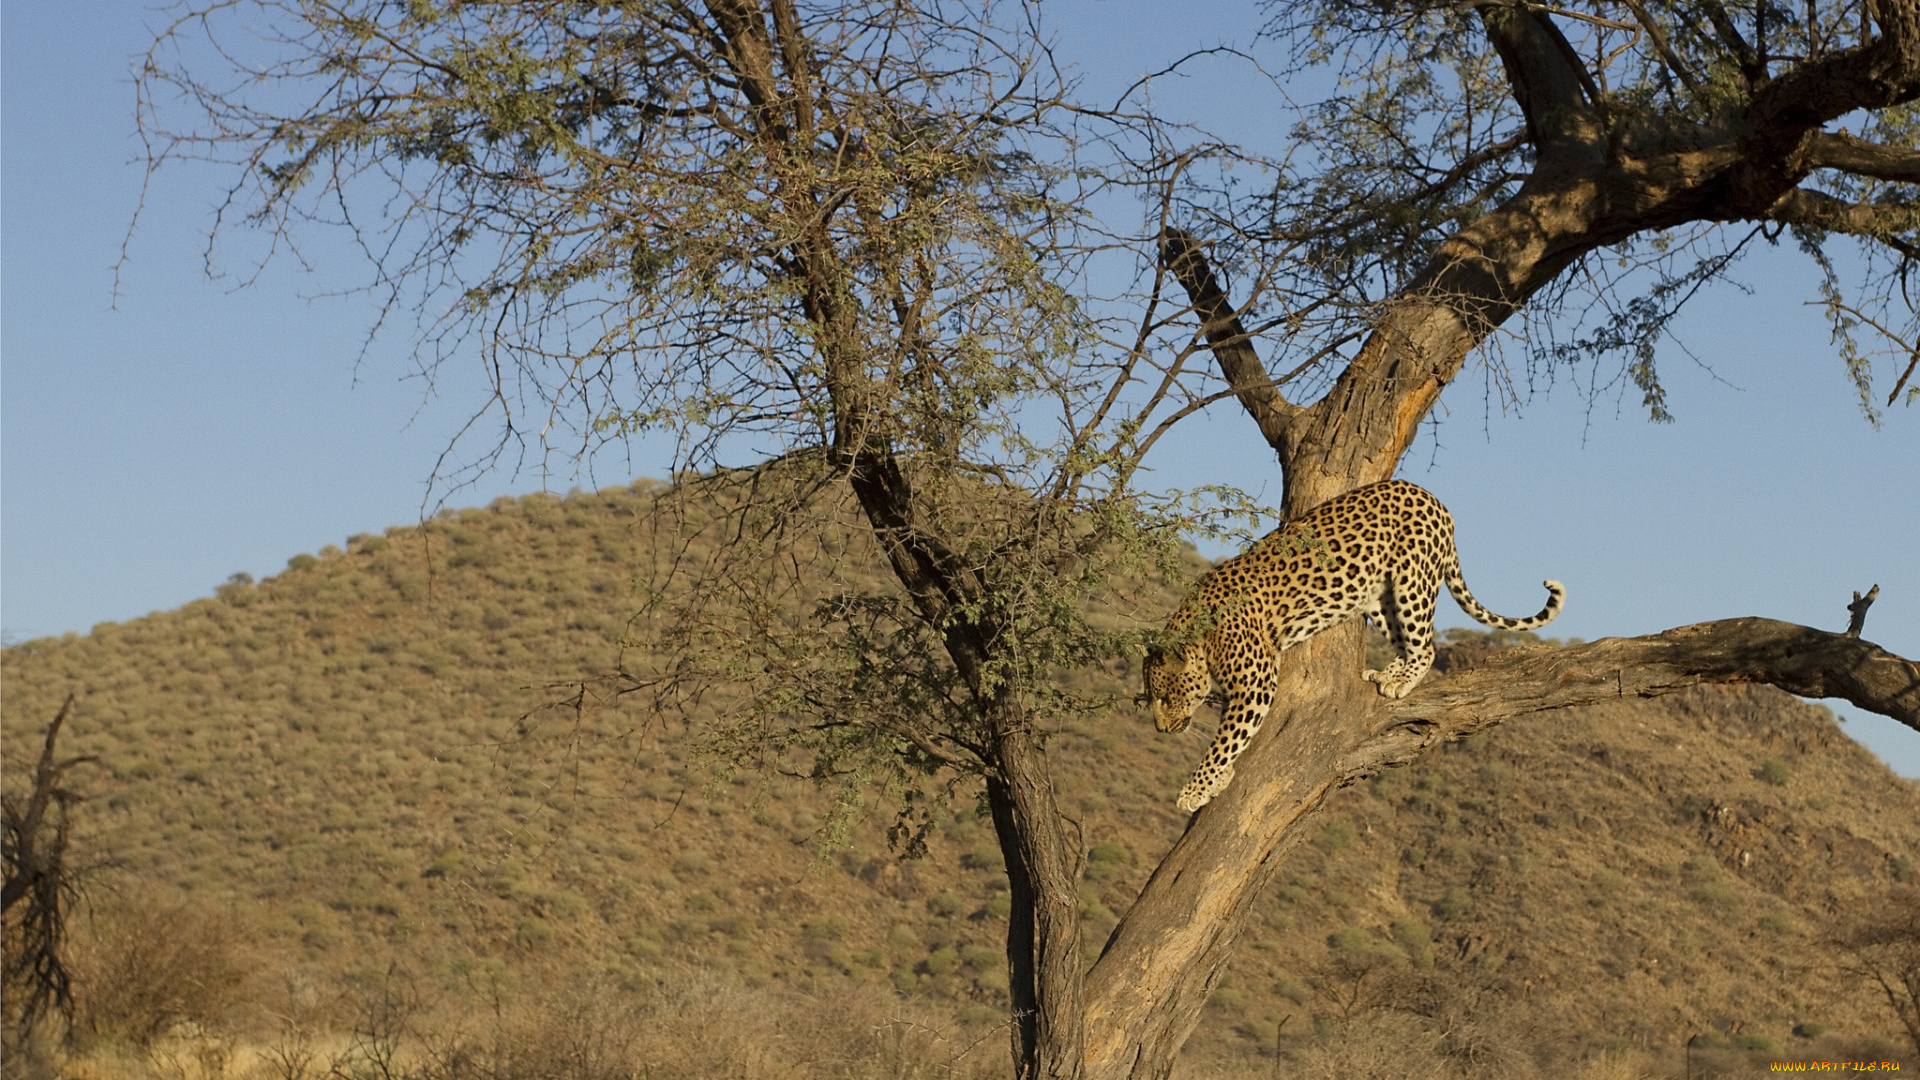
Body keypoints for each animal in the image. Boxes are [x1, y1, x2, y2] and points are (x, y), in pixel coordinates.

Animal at [1136, 476, 1559, 807]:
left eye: (1166, 697)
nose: (1161, 729)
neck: (1201, 637)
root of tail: (1433, 499)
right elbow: (1230, 737)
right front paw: (1217, 781)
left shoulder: (1255, 682)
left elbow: (1225, 740)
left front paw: (1194, 790)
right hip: (1379, 597)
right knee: (1404, 641)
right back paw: (1388, 673)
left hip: (1412, 581)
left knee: (1425, 646)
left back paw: (1401, 680)